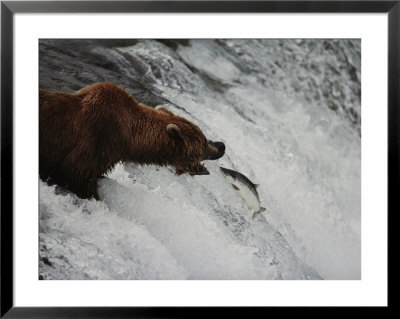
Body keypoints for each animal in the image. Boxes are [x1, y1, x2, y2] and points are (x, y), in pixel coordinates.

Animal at [39, 82, 225, 200]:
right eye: (203, 142)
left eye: (205, 137)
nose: (221, 146)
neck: (129, 139)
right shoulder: (98, 140)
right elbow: (76, 173)